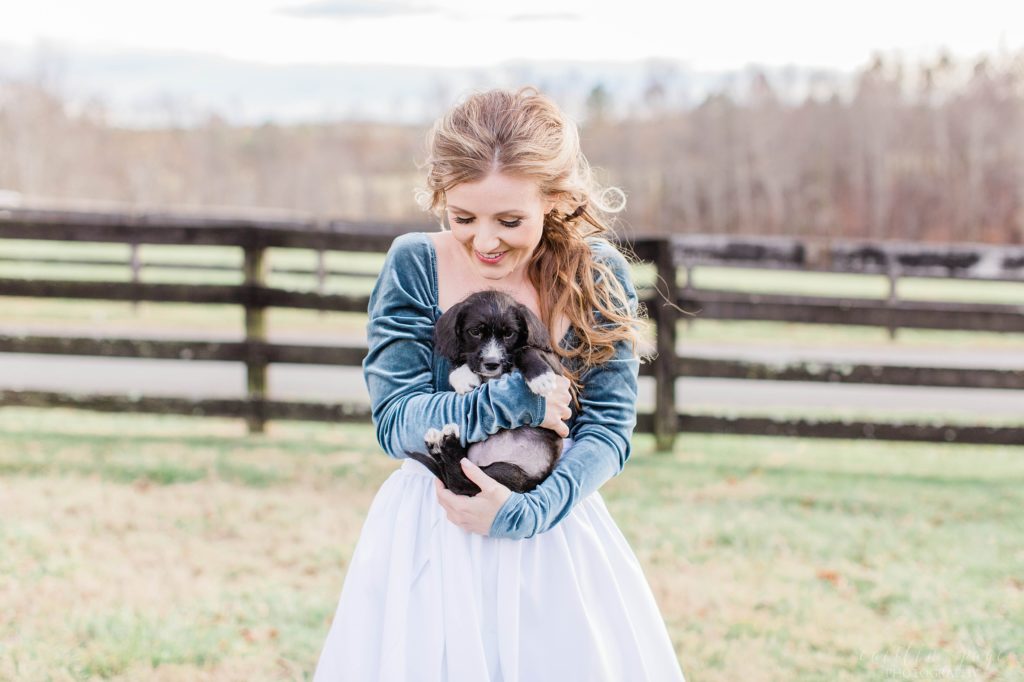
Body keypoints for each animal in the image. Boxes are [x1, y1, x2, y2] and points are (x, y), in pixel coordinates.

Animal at [403, 288, 569, 493]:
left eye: (509, 334)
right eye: (475, 332)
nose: (491, 363)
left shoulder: (555, 367)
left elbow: (525, 349)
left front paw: (541, 377)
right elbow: (461, 358)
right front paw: (462, 376)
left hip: (509, 474)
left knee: (460, 478)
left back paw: (443, 444)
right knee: (458, 477)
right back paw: (440, 444)